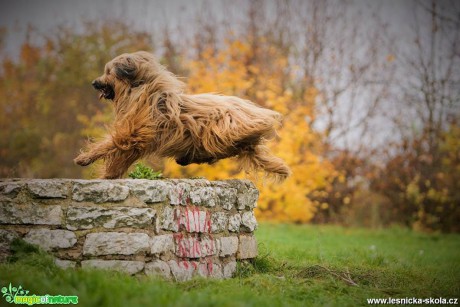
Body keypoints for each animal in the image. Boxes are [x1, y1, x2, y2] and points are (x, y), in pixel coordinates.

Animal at [75, 50, 292, 180]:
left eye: (108, 72)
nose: (94, 83)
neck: (140, 89)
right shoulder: (136, 142)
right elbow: (118, 160)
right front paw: (107, 176)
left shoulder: (133, 134)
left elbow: (109, 144)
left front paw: (84, 158)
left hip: (220, 131)